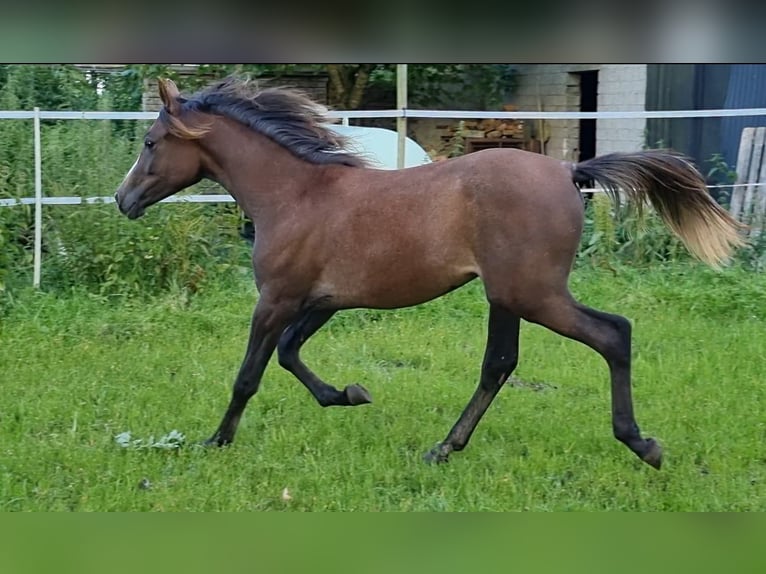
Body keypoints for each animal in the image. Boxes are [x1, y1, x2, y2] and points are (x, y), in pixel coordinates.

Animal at [114, 77, 744, 472]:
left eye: (150, 142)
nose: (123, 199)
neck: (295, 194)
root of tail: (569, 171)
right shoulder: (322, 300)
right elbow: (292, 355)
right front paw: (350, 394)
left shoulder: (276, 298)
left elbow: (249, 373)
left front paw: (216, 440)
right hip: (507, 296)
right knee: (500, 364)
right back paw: (445, 448)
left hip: (532, 294)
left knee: (613, 333)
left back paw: (641, 444)